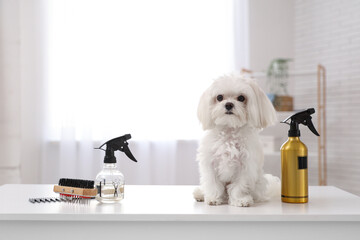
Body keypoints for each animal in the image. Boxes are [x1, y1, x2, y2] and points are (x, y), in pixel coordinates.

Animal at [194, 74, 282, 207]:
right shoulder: (210, 163)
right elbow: (213, 183)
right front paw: (213, 198)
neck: (230, 130)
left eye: (241, 98)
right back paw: (200, 194)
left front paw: (240, 199)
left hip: (258, 184)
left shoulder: (246, 166)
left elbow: (239, 186)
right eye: (219, 97)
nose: (229, 104)